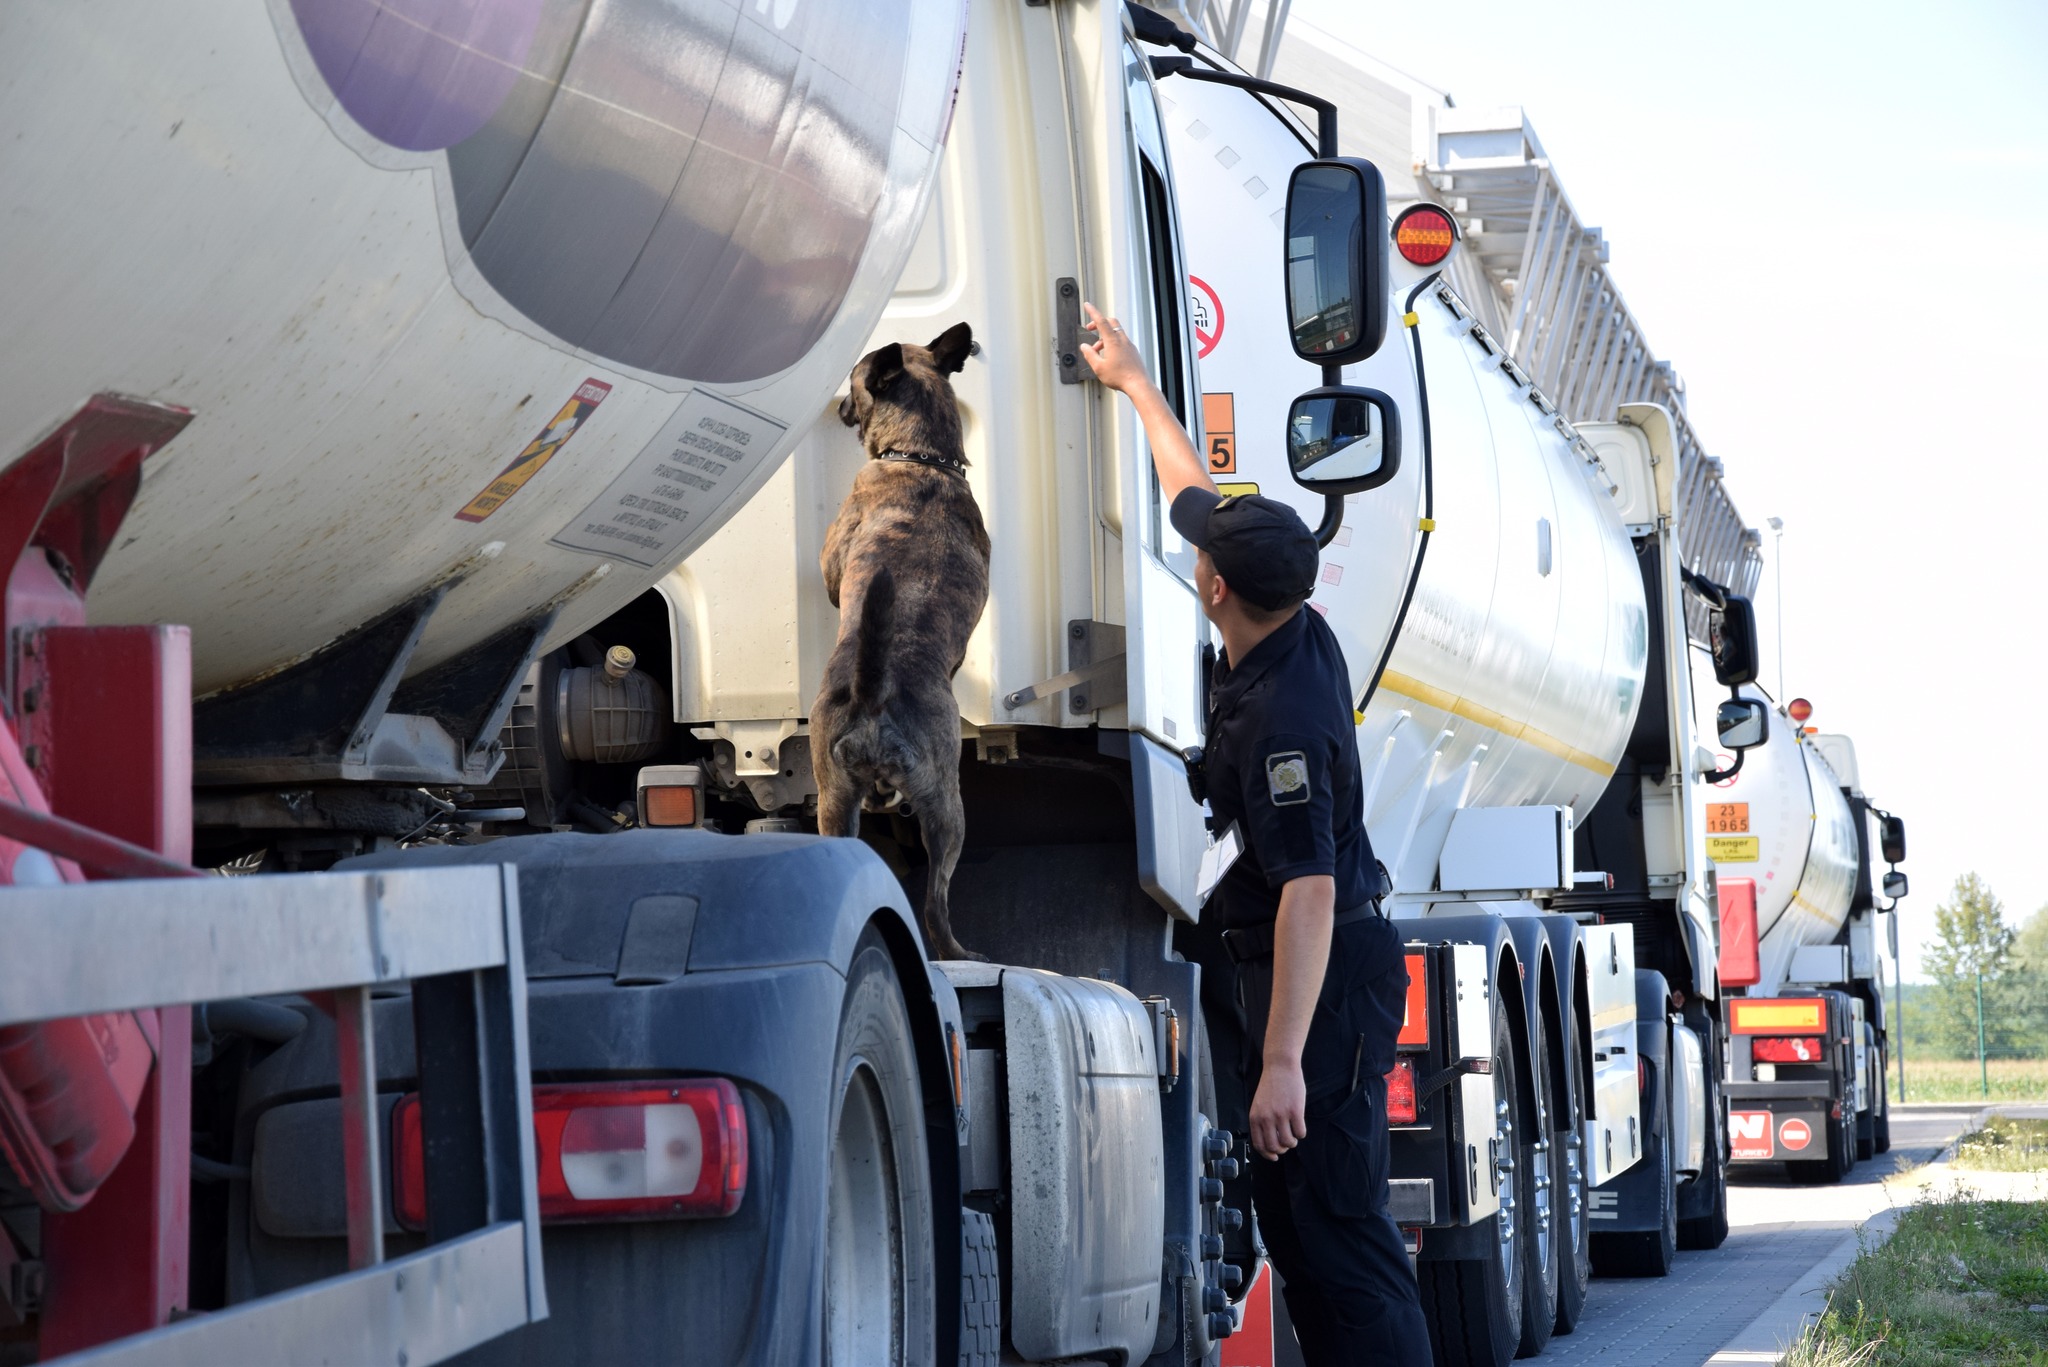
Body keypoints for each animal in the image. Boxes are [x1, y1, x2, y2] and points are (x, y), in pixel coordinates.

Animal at [813, 322, 990, 961]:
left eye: (852, 383)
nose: (838, 406)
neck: (920, 459)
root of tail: (875, 695)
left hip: (859, 801)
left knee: (931, 906)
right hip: (937, 809)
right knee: (934, 904)